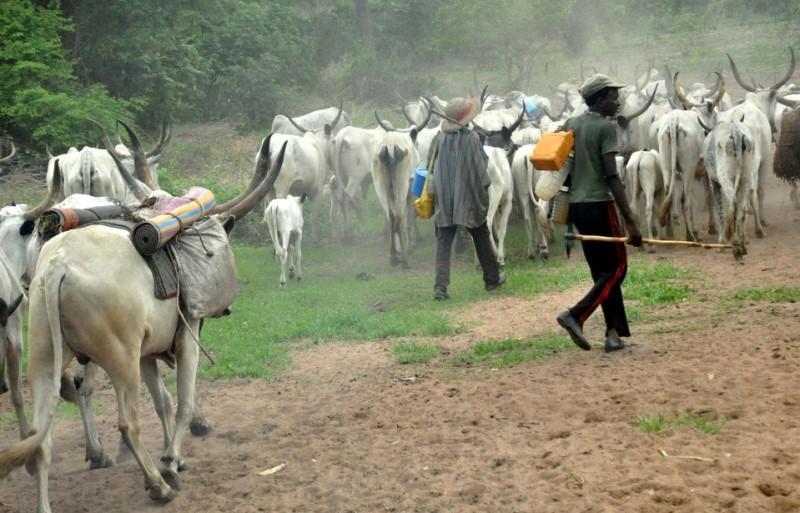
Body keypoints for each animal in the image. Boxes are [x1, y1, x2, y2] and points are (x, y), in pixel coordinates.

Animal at [0, 126, 289, 511]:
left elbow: (163, 403)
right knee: (127, 422)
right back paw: (157, 483)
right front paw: (171, 460)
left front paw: (173, 455)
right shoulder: (186, 335)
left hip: (46, 358)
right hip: (120, 360)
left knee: (41, 437)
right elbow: (182, 402)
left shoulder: (147, 354)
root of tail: (59, 266)